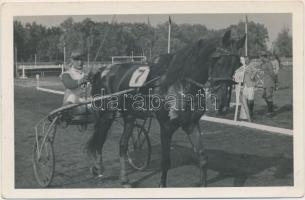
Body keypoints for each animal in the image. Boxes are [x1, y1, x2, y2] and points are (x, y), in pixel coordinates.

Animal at [86, 30, 243, 188]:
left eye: (237, 66)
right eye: (220, 61)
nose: (223, 104)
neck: (179, 82)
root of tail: (102, 70)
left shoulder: (191, 124)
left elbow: (203, 157)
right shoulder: (166, 127)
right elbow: (166, 161)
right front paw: (162, 184)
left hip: (129, 116)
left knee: (123, 144)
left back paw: (124, 178)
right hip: (106, 114)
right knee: (99, 140)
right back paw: (98, 169)